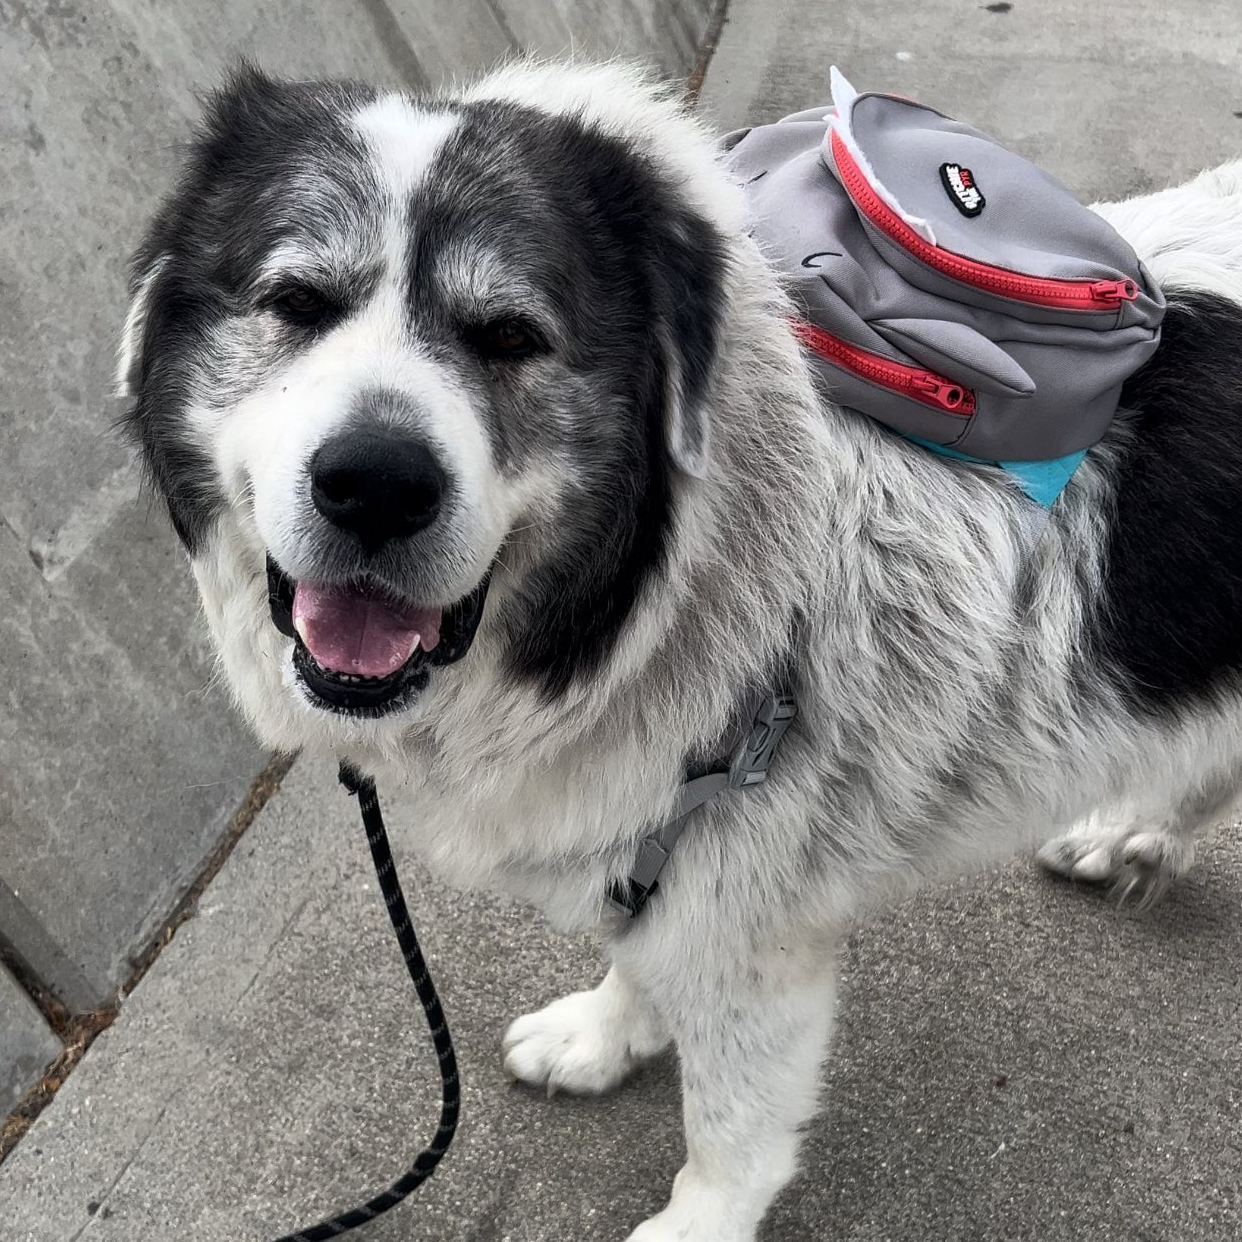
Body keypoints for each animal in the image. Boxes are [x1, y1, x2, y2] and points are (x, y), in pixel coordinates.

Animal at [116, 58, 1242, 1242]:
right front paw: (605, 1034)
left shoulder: (754, 932)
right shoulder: (657, 848)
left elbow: (730, 1132)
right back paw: (1130, 835)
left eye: (511, 336)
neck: (660, 584)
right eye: (296, 304)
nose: (375, 484)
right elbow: (635, 957)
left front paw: (695, 1219)